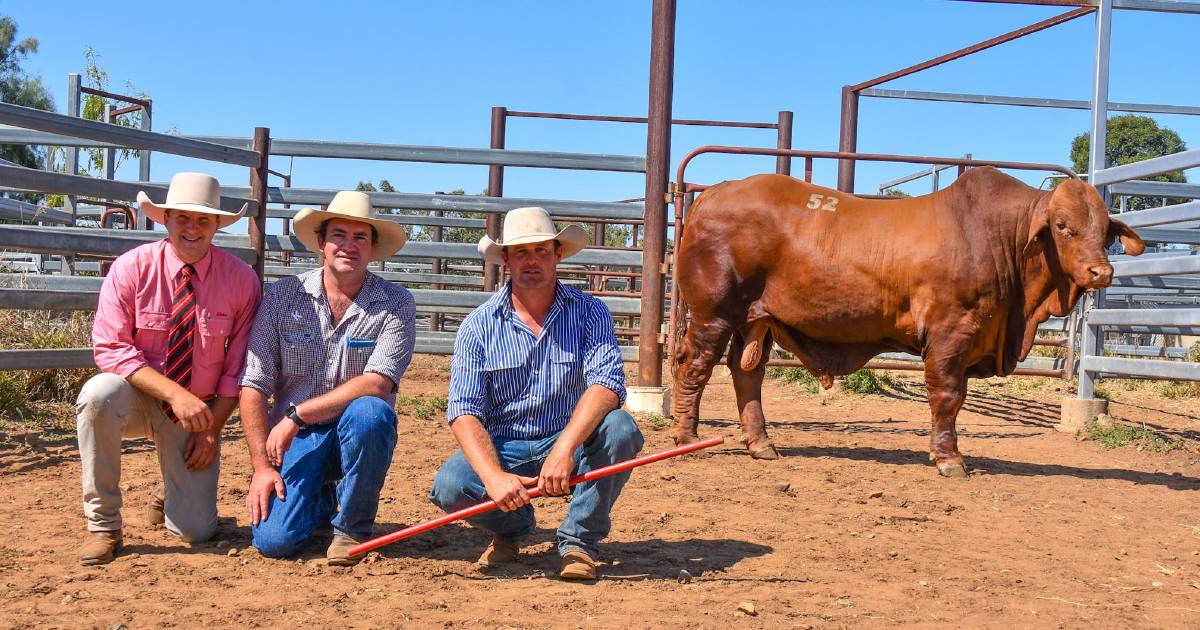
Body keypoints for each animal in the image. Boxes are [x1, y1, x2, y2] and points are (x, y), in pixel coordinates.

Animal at [672, 166, 1147, 477]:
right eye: (1063, 225)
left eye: (1106, 230)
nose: (1100, 272)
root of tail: (714, 194)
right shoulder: (951, 333)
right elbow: (948, 397)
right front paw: (949, 459)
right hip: (714, 314)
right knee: (694, 367)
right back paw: (688, 438)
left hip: (755, 320)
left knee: (745, 374)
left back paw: (761, 444)